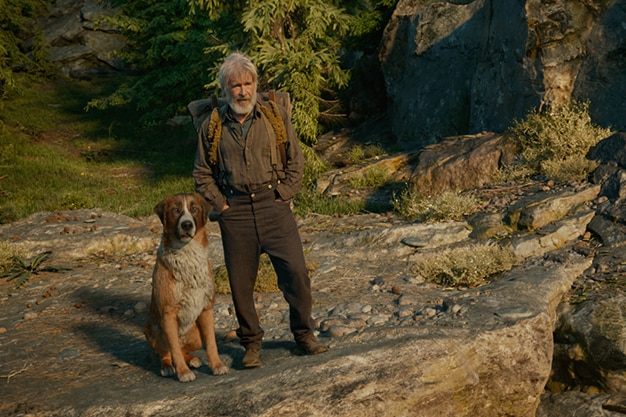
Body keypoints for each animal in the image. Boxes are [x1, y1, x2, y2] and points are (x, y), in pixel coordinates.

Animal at [143, 192, 227, 380]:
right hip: (152, 330)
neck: (187, 253)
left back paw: (192, 359)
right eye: (175, 210)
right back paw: (168, 366)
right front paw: (182, 372)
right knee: (166, 351)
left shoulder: (207, 308)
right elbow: (173, 348)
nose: (187, 224)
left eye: (194, 209)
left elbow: (212, 343)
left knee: (183, 349)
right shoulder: (168, 313)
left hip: (196, 335)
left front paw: (217, 365)